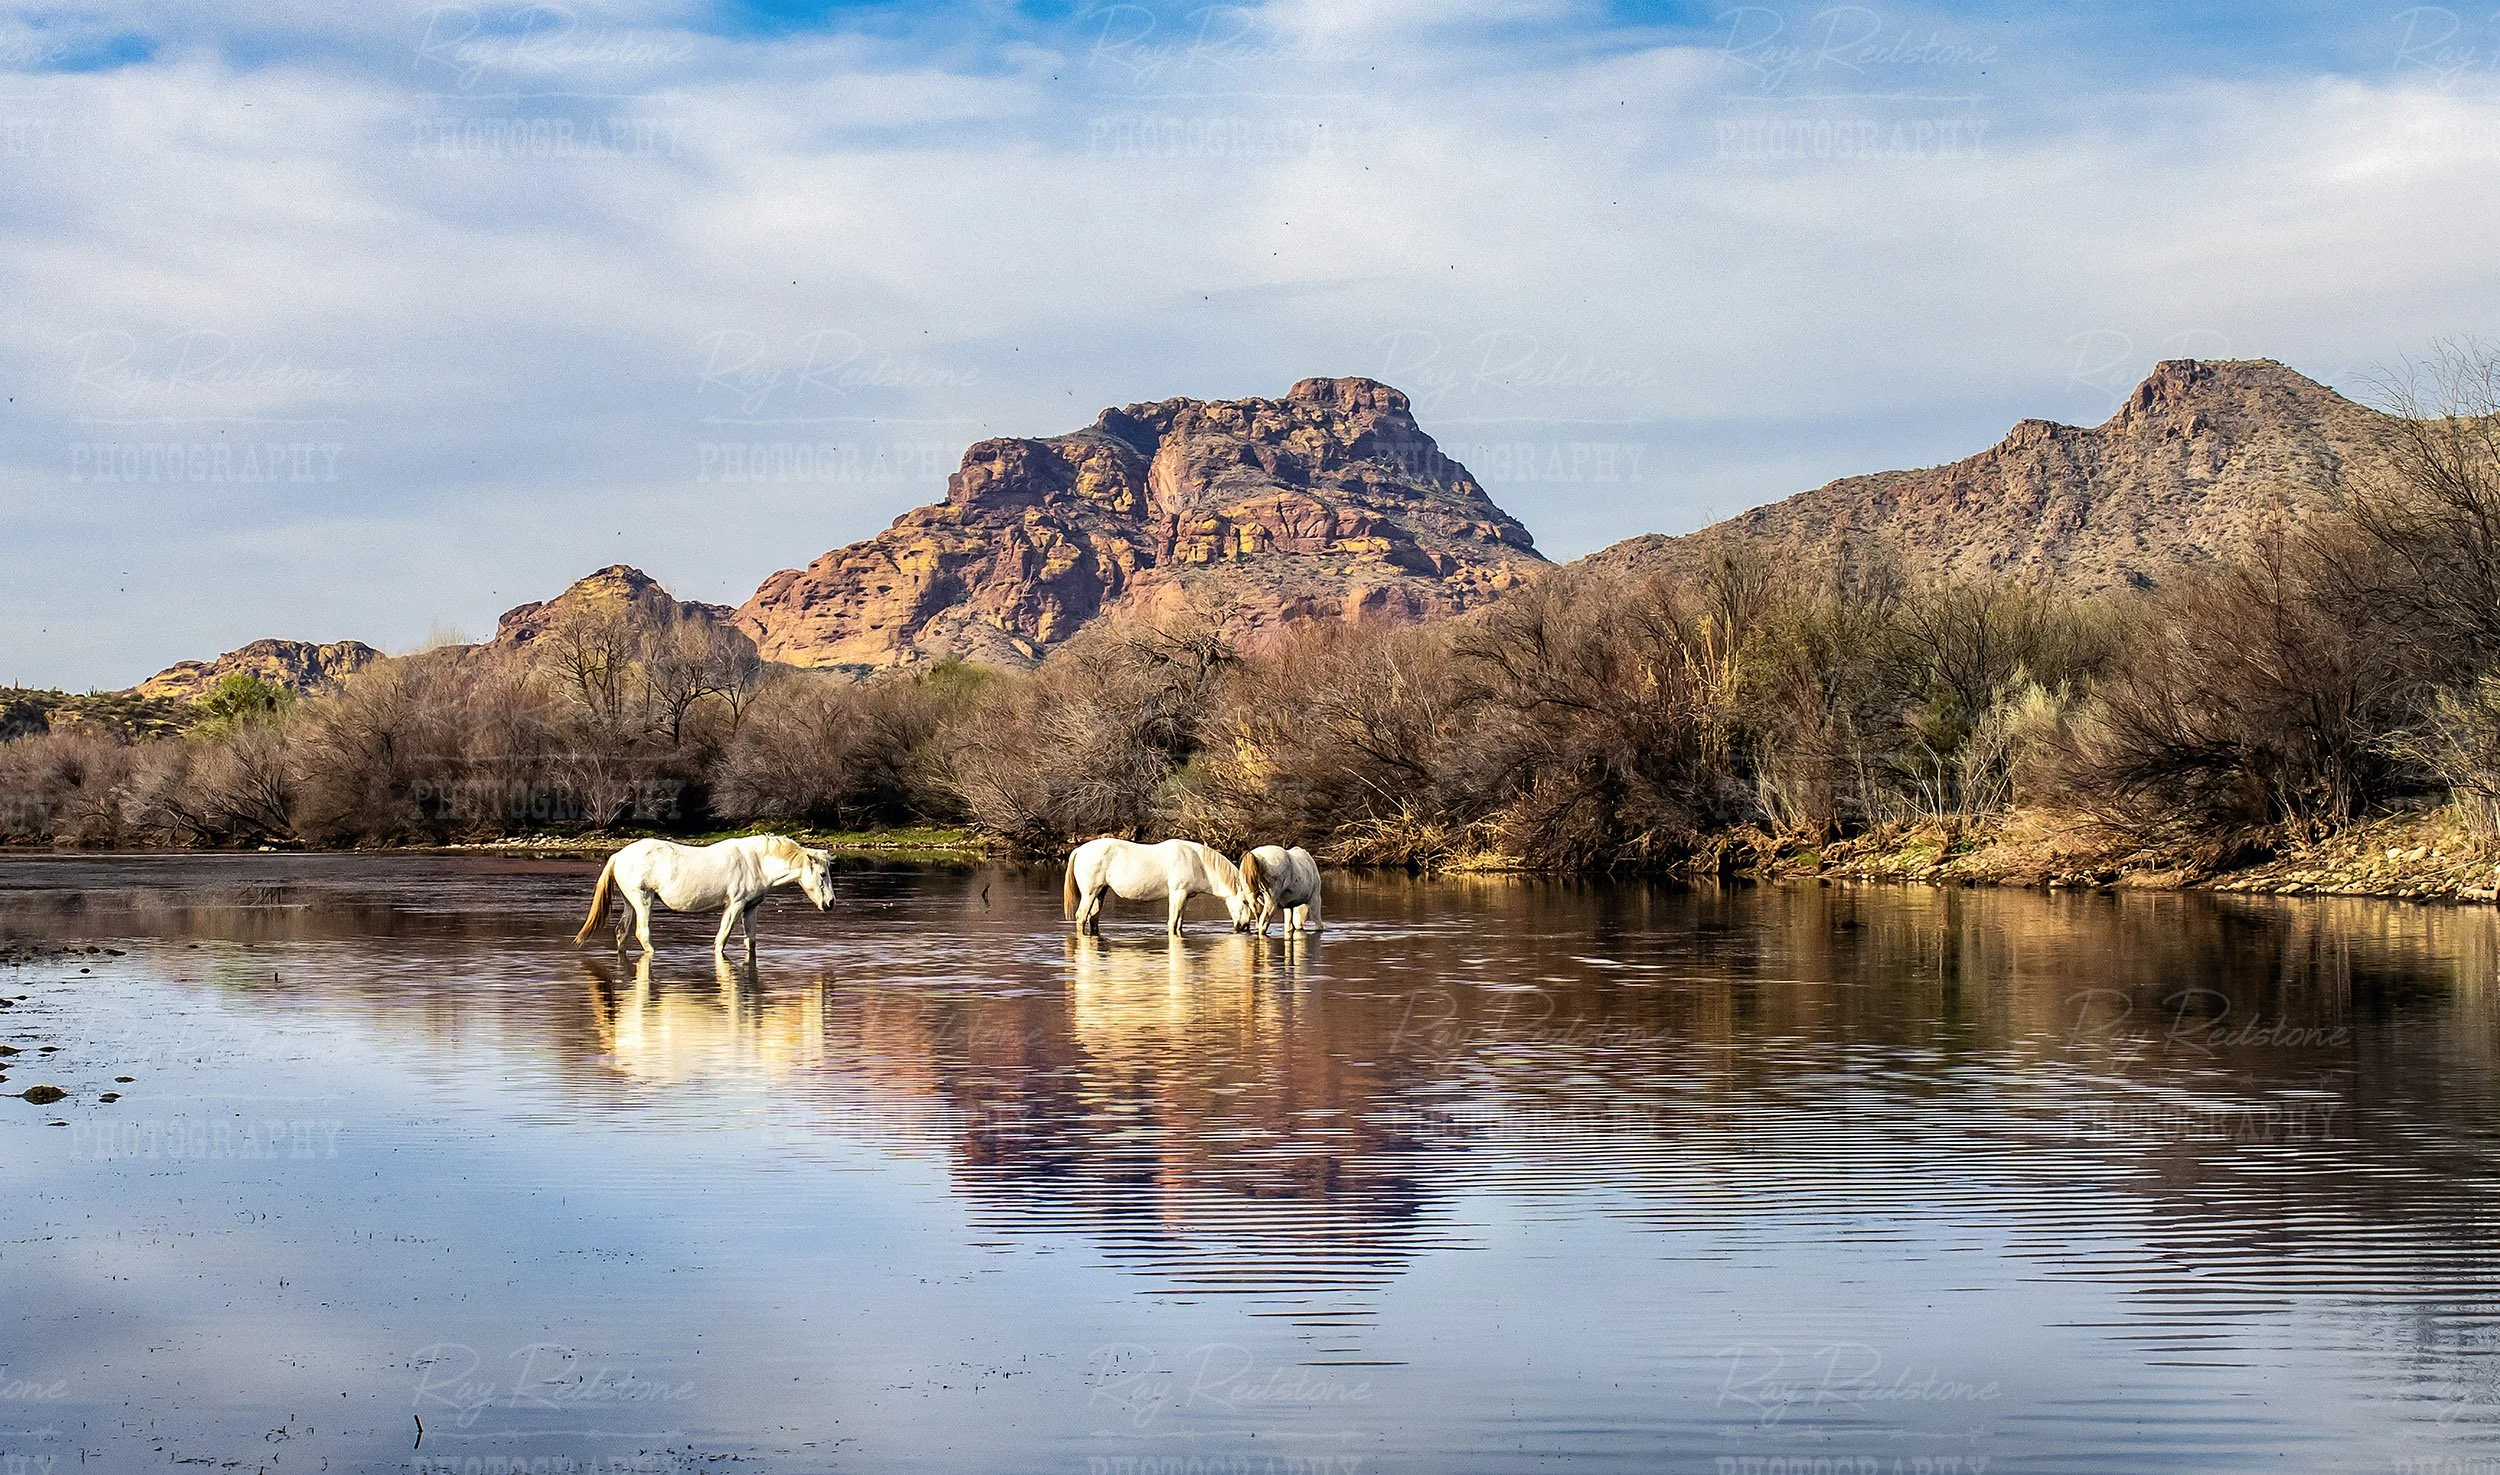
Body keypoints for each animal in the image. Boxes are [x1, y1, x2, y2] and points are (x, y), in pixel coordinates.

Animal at [575, 835, 836, 957]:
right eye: (823, 874)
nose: (830, 903)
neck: (756, 861)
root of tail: (618, 856)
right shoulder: (735, 905)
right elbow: (722, 939)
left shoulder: (751, 907)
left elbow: (750, 941)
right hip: (643, 900)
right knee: (642, 933)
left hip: (630, 902)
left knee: (622, 932)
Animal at [1062, 837, 1257, 936]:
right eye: (1245, 902)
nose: (1245, 927)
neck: (1197, 861)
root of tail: (1079, 850)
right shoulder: (1177, 893)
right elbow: (1172, 922)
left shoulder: (1185, 897)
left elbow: (1179, 924)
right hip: (1090, 893)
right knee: (1081, 917)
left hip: (1100, 892)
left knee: (1093, 918)